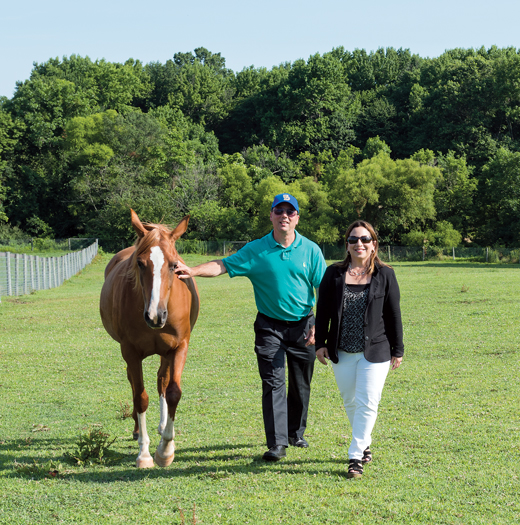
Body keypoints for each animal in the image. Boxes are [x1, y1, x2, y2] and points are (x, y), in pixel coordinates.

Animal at [100, 209, 199, 466]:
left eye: (174, 265)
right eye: (140, 263)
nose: (155, 315)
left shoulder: (179, 347)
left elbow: (173, 392)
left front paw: (165, 450)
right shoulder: (130, 352)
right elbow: (140, 397)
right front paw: (144, 454)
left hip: (166, 353)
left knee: (162, 381)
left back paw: (163, 426)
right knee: (134, 385)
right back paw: (137, 431)